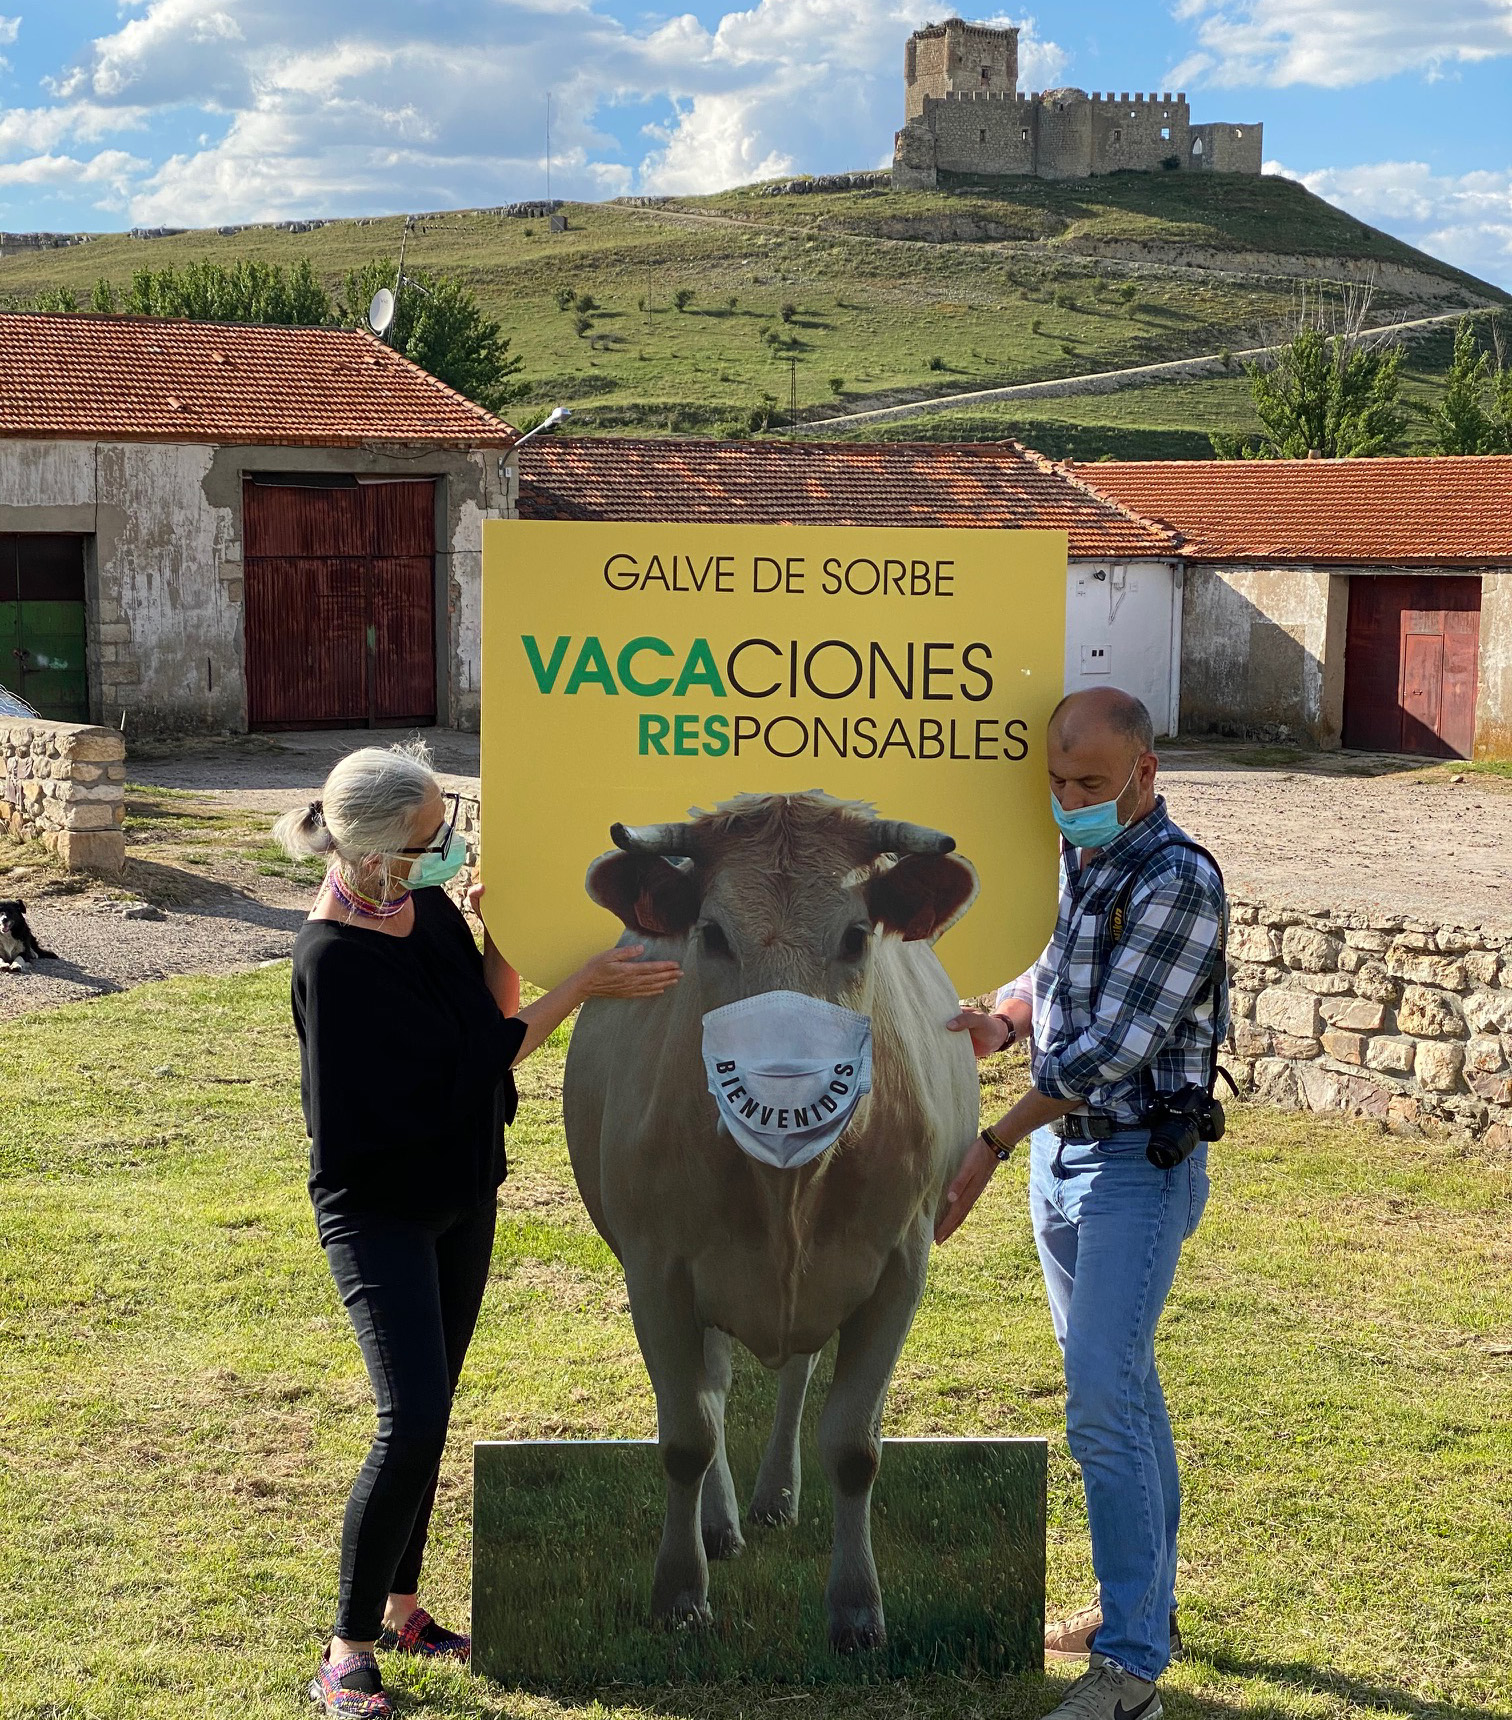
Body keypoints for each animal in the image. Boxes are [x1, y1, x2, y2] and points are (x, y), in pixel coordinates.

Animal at [562, 791, 981, 1651]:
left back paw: (775, 1498)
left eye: (856, 935)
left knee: (792, 1376)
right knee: (717, 1392)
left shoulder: (898, 1270)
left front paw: (856, 1607)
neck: (785, 1188)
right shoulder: (657, 1272)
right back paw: (721, 1523)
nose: (784, 1073)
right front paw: (680, 1590)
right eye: (712, 933)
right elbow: (687, 1435)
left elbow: (853, 1445)